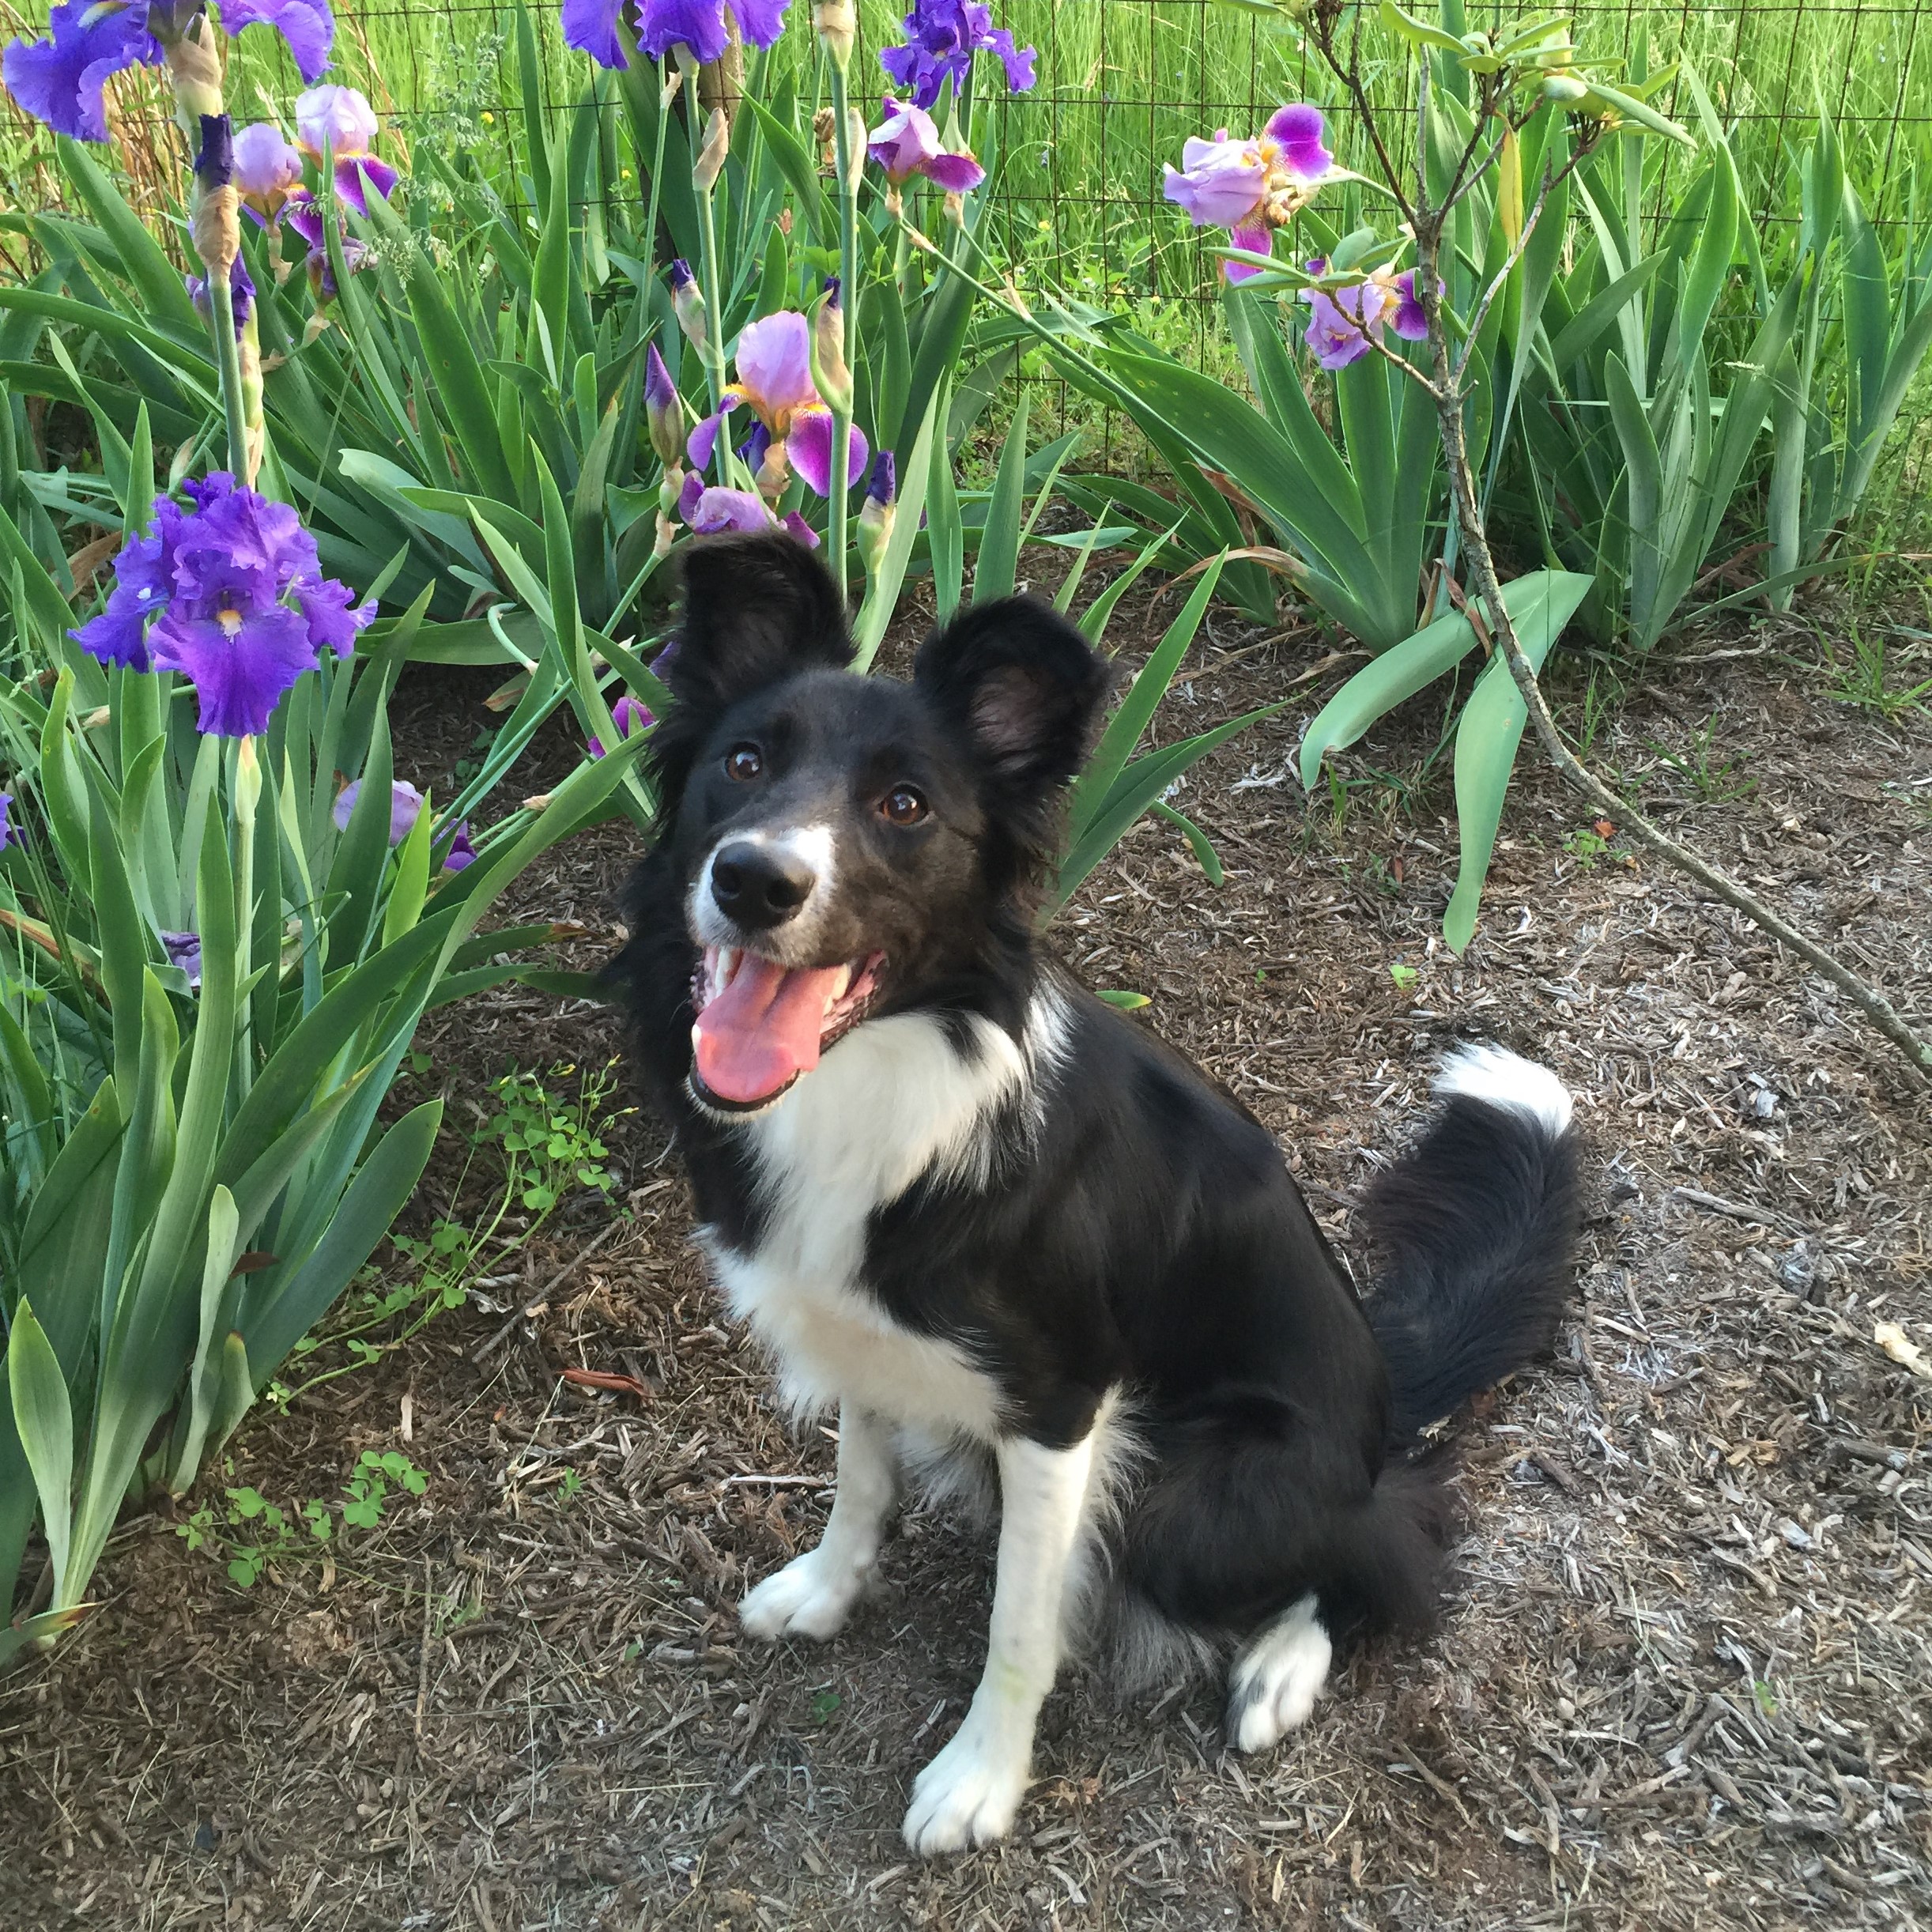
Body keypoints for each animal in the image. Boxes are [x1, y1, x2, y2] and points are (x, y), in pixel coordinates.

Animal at [618, 529, 1584, 1855]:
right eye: (743, 763)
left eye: (904, 806)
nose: (755, 880)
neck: (877, 1081)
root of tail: (1384, 1396)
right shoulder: (861, 1331)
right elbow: (860, 1477)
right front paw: (824, 1588)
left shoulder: (1062, 1405)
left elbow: (1020, 1626)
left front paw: (980, 1779)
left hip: (1198, 1488)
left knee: (1389, 1545)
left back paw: (1281, 1666)